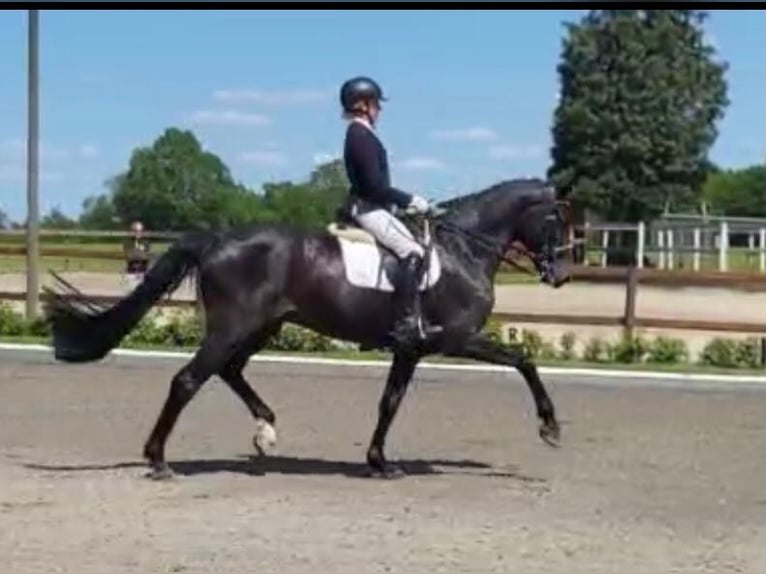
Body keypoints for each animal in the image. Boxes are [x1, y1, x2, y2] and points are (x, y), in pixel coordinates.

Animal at [42, 177, 568, 482]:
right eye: (557, 221)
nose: (561, 275)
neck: (463, 252)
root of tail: (216, 239)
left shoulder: (411, 348)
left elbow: (390, 402)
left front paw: (380, 462)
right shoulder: (455, 338)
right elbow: (524, 360)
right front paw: (550, 427)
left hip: (262, 326)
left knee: (229, 370)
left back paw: (266, 432)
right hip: (234, 326)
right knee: (188, 380)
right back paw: (159, 460)